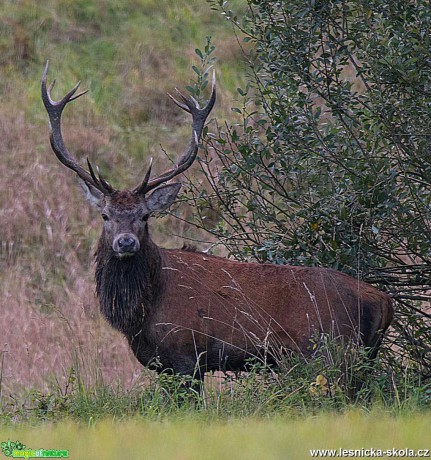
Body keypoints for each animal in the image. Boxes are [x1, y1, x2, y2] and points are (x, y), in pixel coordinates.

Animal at [42, 62, 394, 384]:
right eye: (105, 215)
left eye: (145, 215)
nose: (126, 242)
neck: (145, 311)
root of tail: (382, 301)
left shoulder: (187, 355)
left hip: (329, 350)